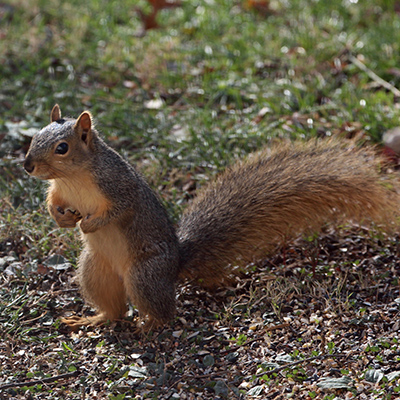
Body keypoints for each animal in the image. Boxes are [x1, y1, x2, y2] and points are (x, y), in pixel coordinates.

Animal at [24, 104, 396, 330]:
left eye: (62, 148)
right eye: (34, 136)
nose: (27, 166)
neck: (74, 177)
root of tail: (176, 264)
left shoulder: (118, 185)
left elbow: (119, 209)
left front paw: (90, 223)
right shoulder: (59, 191)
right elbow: (52, 203)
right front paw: (62, 219)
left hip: (144, 274)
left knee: (163, 311)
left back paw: (150, 324)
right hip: (94, 271)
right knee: (113, 309)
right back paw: (93, 319)